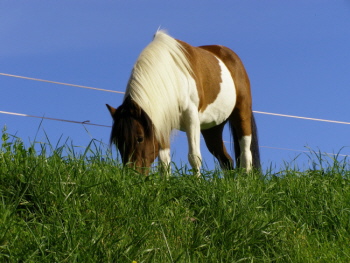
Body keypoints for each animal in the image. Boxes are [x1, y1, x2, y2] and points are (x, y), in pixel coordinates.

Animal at [106, 30, 260, 175]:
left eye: (140, 138)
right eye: (117, 141)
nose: (132, 174)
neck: (173, 76)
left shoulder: (191, 118)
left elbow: (194, 157)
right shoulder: (162, 122)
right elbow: (164, 161)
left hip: (241, 113)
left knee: (246, 153)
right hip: (212, 128)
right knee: (226, 160)